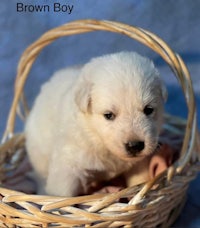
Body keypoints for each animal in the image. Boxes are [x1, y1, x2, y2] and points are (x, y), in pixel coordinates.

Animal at [25, 51, 167, 196]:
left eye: (148, 110)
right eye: (108, 115)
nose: (135, 146)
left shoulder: (138, 164)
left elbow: (139, 179)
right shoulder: (68, 163)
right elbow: (62, 191)